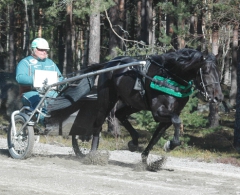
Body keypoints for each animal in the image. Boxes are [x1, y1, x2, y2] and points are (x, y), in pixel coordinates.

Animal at [70, 47, 222, 163]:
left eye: (218, 71)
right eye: (206, 71)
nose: (218, 97)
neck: (169, 76)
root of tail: (109, 64)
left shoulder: (167, 116)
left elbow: (157, 136)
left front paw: (146, 158)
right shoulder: (158, 112)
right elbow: (177, 121)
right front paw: (169, 145)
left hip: (134, 104)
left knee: (120, 114)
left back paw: (134, 141)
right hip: (107, 100)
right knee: (98, 123)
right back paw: (92, 153)